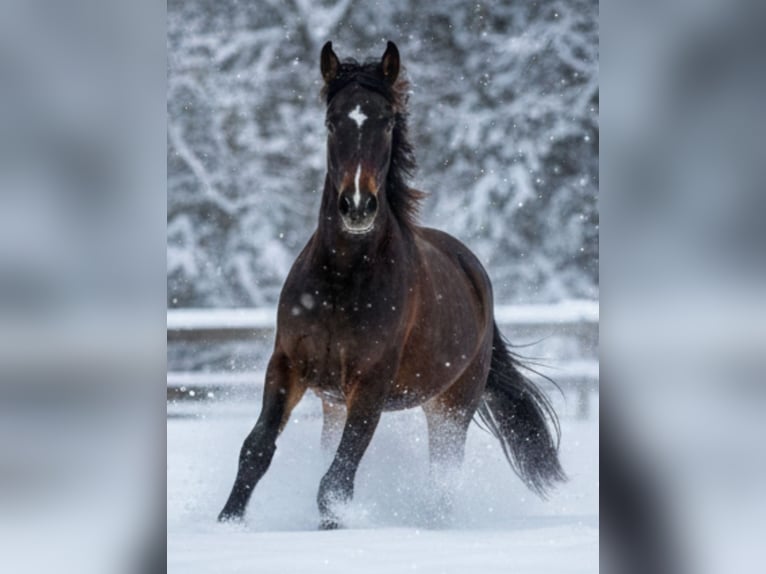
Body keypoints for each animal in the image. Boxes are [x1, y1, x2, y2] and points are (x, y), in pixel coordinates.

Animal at [218, 41, 565, 529]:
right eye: (332, 121)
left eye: (385, 121)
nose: (357, 206)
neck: (342, 279)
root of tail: (474, 272)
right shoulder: (287, 365)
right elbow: (256, 449)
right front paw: (226, 523)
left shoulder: (370, 385)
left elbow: (337, 480)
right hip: (334, 403)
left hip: (451, 407)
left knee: (442, 479)